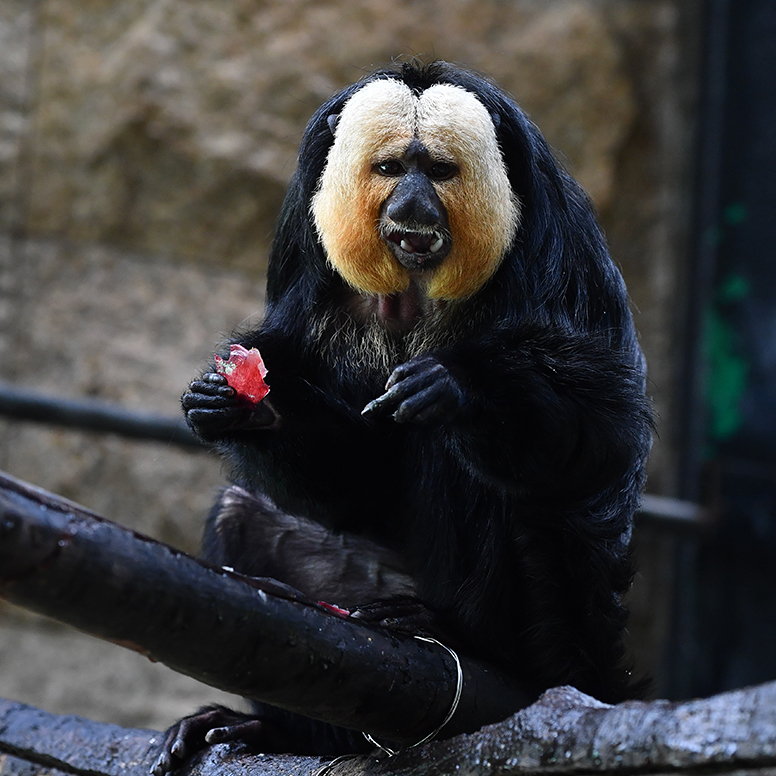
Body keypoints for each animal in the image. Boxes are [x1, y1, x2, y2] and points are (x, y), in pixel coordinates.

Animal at [153, 60, 656, 768]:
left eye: (439, 172)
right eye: (391, 168)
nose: (412, 205)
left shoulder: (560, 252)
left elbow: (604, 435)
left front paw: (462, 389)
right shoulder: (304, 264)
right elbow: (358, 482)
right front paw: (246, 406)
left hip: (556, 633)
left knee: (479, 470)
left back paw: (459, 635)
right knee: (241, 512)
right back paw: (286, 730)